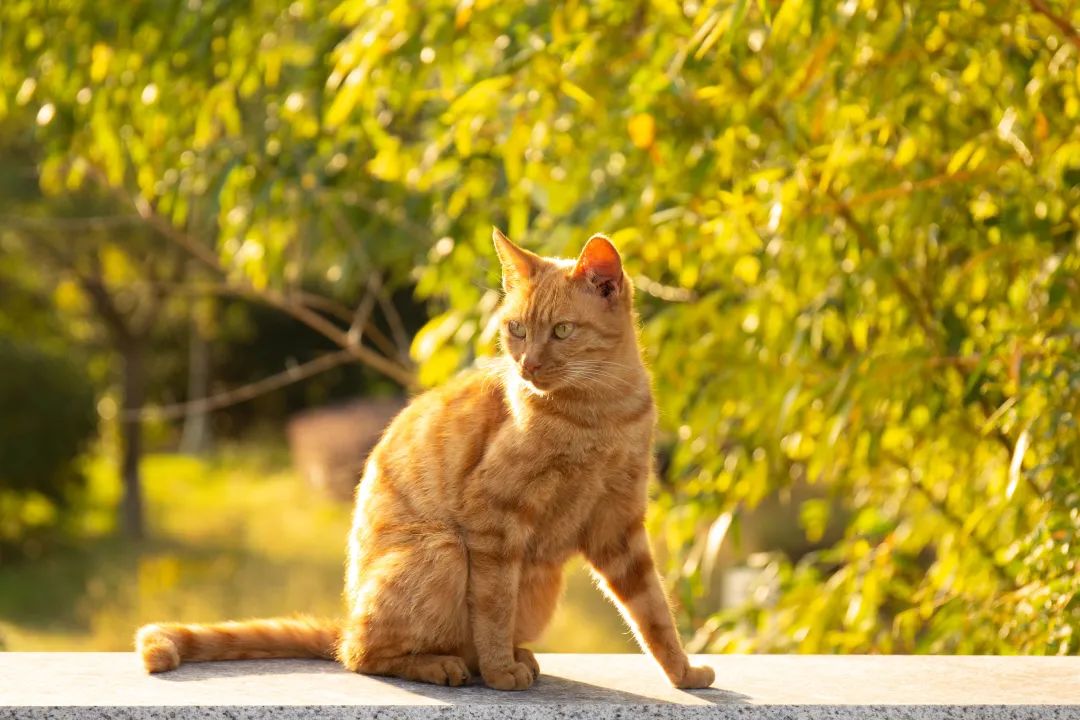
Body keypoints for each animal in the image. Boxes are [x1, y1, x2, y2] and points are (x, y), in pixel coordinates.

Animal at [135, 231, 717, 690]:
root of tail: (347, 614)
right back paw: (450, 666)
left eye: (561, 331)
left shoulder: (618, 525)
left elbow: (653, 612)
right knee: (361, 654)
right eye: (517, 329)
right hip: (443, 550)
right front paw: (500, 672)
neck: (599, 415)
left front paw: (684, 673)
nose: (527, 365)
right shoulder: (493, 523)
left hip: (537, 581)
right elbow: (493, 608)